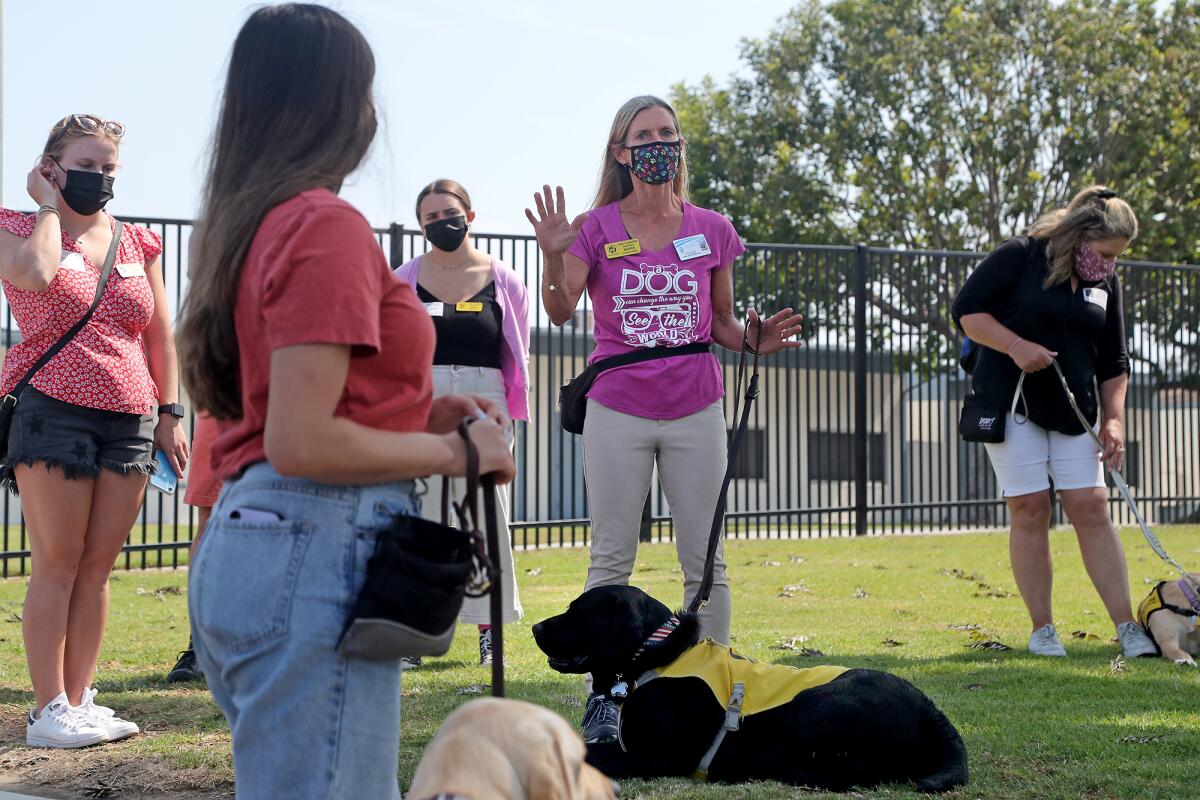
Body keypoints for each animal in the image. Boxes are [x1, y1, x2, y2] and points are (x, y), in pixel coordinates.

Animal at [532, 585, 964, 796]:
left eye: (575, 611)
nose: (535, 627)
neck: (658, 656)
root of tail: (931, 709)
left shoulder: (661, 755)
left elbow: (593, 754)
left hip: (813, 706)